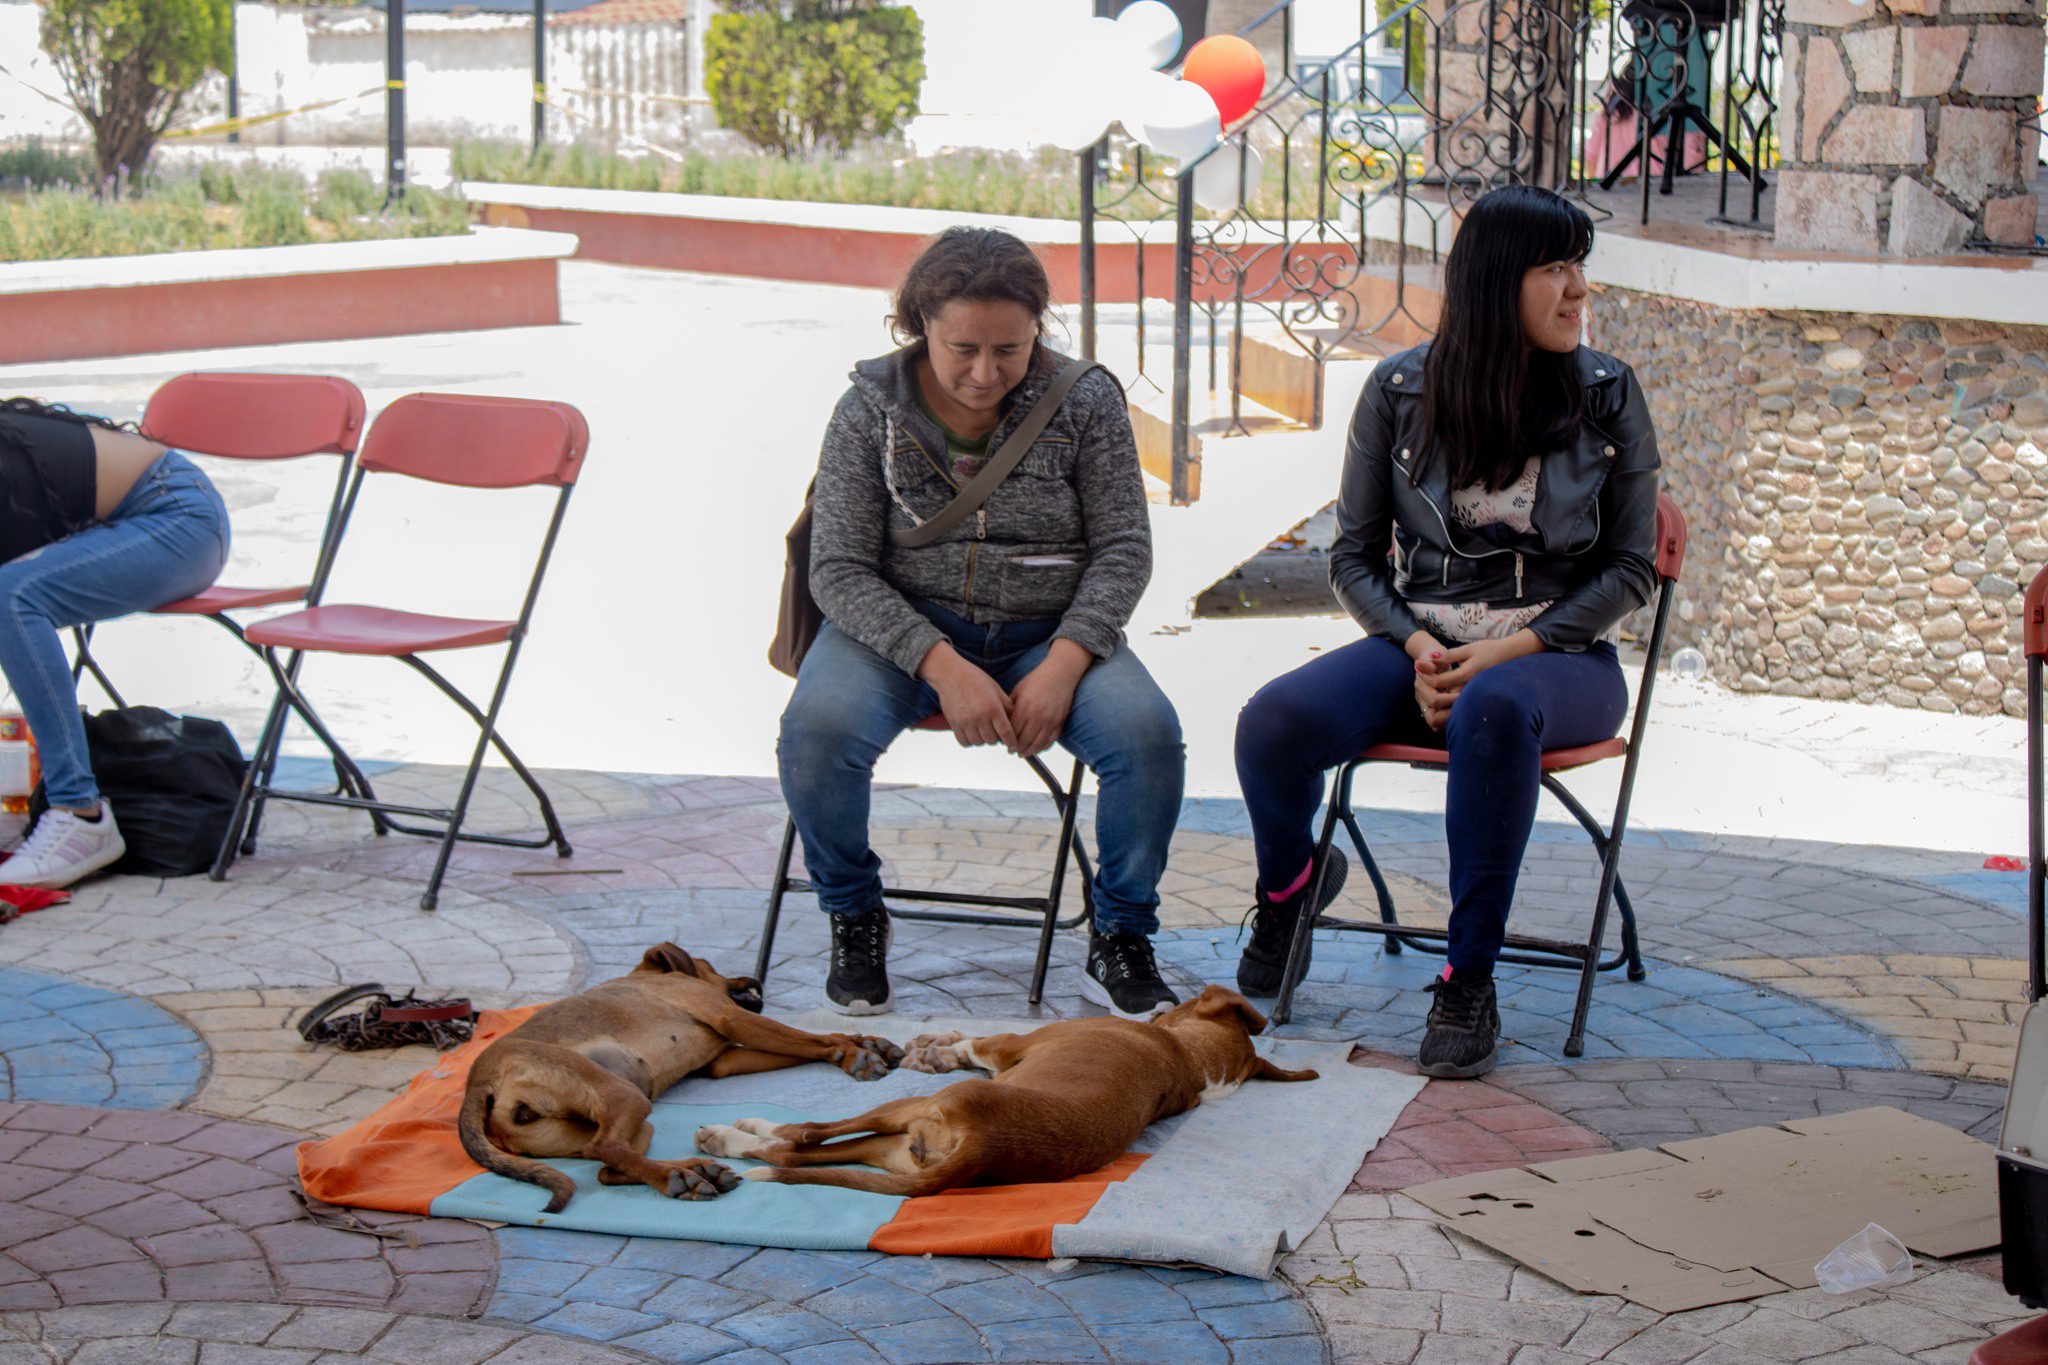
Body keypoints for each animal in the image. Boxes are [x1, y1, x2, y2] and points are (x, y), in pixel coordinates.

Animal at [456, 945, 905, 1211]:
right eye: (712, 966)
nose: (754, 980)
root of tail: (479, 1083)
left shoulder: (722, 1061)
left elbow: (806, 1043)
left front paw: (864, 1044)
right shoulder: (731, 1017)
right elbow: (811, 1037)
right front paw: (852, 1052)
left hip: (622, 1122)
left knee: (605, 1166)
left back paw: (696, 1172)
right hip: (624, 1095)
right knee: (607, 1148)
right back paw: (678, 1177)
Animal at [696, 982, 1318, 1195]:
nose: (1161, 1006)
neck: (1187, 1060)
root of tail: (982, 1149)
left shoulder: (1008, 1046)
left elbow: (976, 1044)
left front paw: (938, 1046)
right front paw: (936, 1044)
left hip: (905, 1110)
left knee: (800, 1138)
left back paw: (739, 1132)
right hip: (896, 1152)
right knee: (802, 1156)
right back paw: (734, 1141)